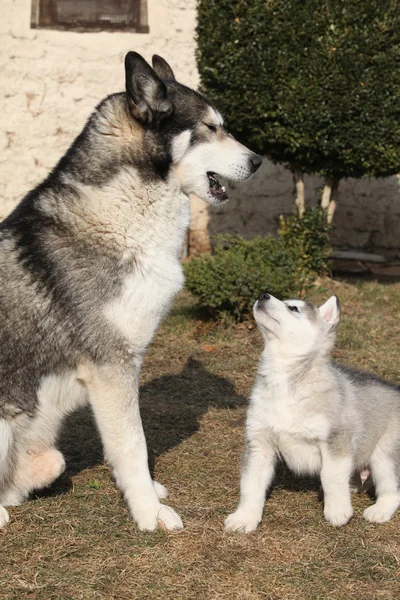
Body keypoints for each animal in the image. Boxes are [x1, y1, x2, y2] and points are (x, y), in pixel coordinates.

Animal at [0, 51, 262, 528]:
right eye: (210, 127)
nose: (258, 162)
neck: (123, 212)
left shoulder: (127, 364)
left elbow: (129, 448)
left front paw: (145, 494)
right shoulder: (112, 368)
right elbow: (133, 445)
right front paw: (149, 512)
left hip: (47, 456)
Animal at [225, 292, 400, 532]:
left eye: (293, 308)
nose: (262, 295)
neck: (284, 379)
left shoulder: (336, 440)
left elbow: (331, 476)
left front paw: (337, 511)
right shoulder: (259, 443)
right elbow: (251, 484)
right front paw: (244, 517)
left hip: (386, 454)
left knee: (392, 489)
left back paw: (379, 510)